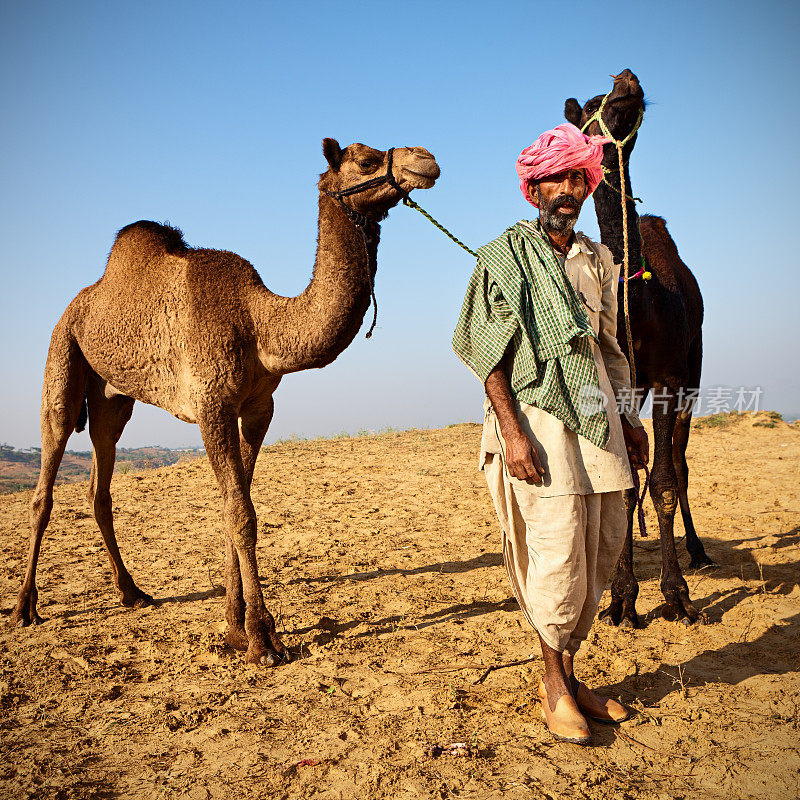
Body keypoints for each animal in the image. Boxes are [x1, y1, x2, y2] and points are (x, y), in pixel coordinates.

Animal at [9, 139, 440, 668]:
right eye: (365, 159)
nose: (425, 160)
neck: (260, 323)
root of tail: (81, 300)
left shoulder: (258, 408)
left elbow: (239, 506)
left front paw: (235, 625)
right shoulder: (211, 405)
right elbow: (241, 513)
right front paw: (260, 638)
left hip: (113, 399)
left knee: (100, 482)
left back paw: (132, 592)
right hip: (62, 354)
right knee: (46, 479)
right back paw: (24, 608)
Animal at [564, 72, 712, 628]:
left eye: (614, 99)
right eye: (591, 110)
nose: (625, 80)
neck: (638, 303)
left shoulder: (670, 379)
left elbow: (665, 480)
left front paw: (676, 595)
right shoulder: (619, 386)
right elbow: (628, 485)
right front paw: (622, 599)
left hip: (693, 374)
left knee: (681, 462)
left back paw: (699, 553)